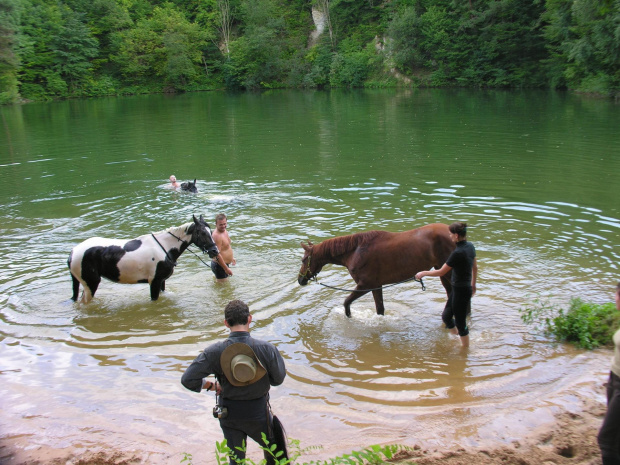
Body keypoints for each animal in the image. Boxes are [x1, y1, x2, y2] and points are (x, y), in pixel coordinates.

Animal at [67, 214, 218, 300]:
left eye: (210, 231)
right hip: (91, 284)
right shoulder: (154, 282)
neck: (165, 246)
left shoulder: (161, 281)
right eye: (202, 233)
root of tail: (73, 252)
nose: (214, 251)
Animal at [298, 221, 452, 316]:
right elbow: (380, 309)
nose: (300, 280)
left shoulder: (366, 285)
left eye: (304, 259)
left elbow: (347, 303)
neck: (355, 252)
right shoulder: (376, 286)